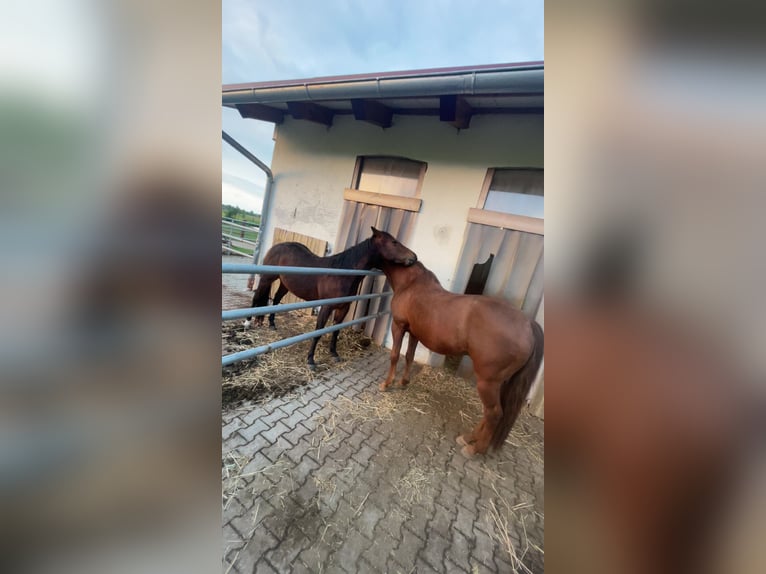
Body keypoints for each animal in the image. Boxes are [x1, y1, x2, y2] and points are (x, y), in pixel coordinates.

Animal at [244, 229, 417, 369]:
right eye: (394, 242)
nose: (414, 257)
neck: (343, 273)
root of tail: (277, 247)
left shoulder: (343, 308)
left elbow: (335, 331)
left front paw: (334, 354)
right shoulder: (326, 307)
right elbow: (319, 331)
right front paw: (311, 360)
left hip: (284, 284)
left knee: (276, 300)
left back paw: (272, 324)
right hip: (267, 279)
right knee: (256, 298)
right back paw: (247, 323)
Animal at [372, 227, 545, 457]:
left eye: (394, 241)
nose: (412, 257)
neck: (411, 283)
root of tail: (528, 324)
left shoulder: (398, 326)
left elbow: (394, 355)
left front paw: (387, 384)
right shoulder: (415, 332)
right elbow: (408, 356)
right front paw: (403, 382)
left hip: (488, 382)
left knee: (494, 413)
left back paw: (474, 449)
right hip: (500, 383)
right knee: (492, 413)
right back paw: (469, 438)